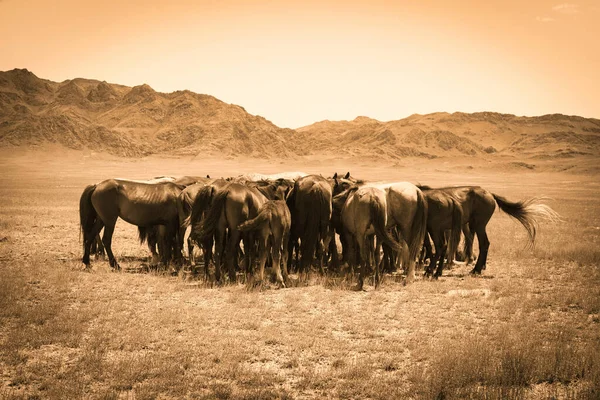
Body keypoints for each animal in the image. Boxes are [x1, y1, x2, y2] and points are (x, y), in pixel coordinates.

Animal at [414, 185, 560, 276]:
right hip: (474, 226)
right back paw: (478, 267)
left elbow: (426, 246)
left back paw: (475, 269)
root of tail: (490, 194)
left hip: (478, 225)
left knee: (482, 243)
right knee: (482, 243)